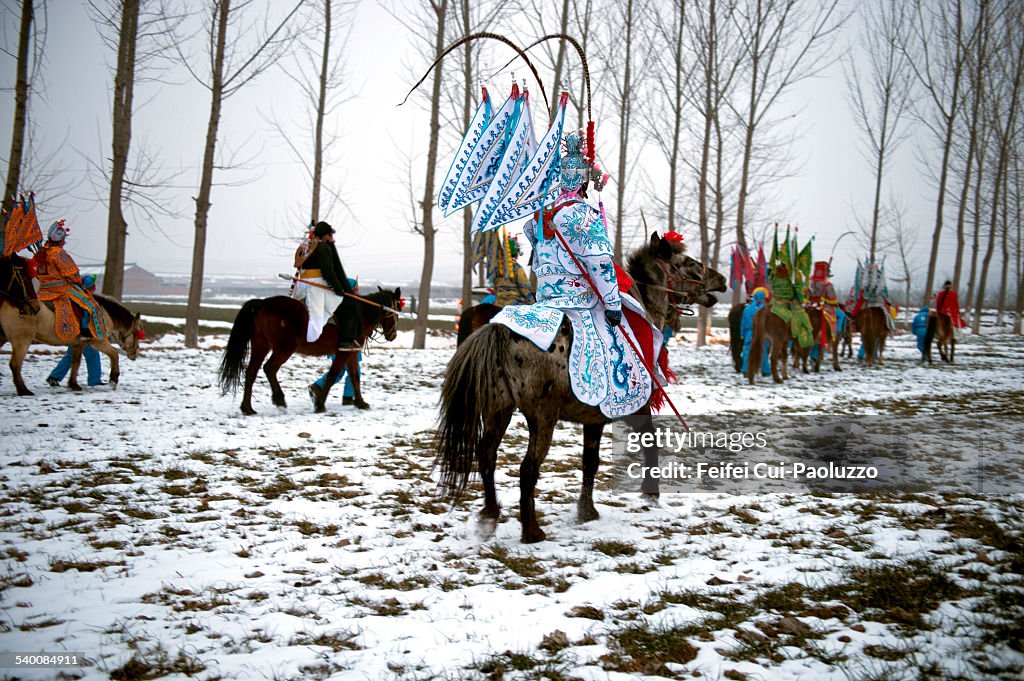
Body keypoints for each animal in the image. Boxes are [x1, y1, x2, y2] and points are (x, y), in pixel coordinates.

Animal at [219, 286, 399, 413]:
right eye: (397, 311)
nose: (393, 335)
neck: (360, 314)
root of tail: (262, 303)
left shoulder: (352, 352)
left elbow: (355, 377)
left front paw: (361, 403)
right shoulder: (343, 353)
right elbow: (333, 375)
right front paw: (319, 404)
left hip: (261, 345)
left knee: (251, 372)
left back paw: (247, 408)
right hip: (284, 348)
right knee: (269, 368)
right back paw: (279, 399)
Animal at [434, 233, 729, 540]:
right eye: (689, 263)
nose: (722, 279)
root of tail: (497, 331)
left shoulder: (593, 419)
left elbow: (590, 462)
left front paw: (587, 510)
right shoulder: (636, 409)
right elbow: (649, 443)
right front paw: (650, 494)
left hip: (498, 410)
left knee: (487, 456)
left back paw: (490, 515)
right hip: (542, 419)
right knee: (527, 469)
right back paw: (531, 530)